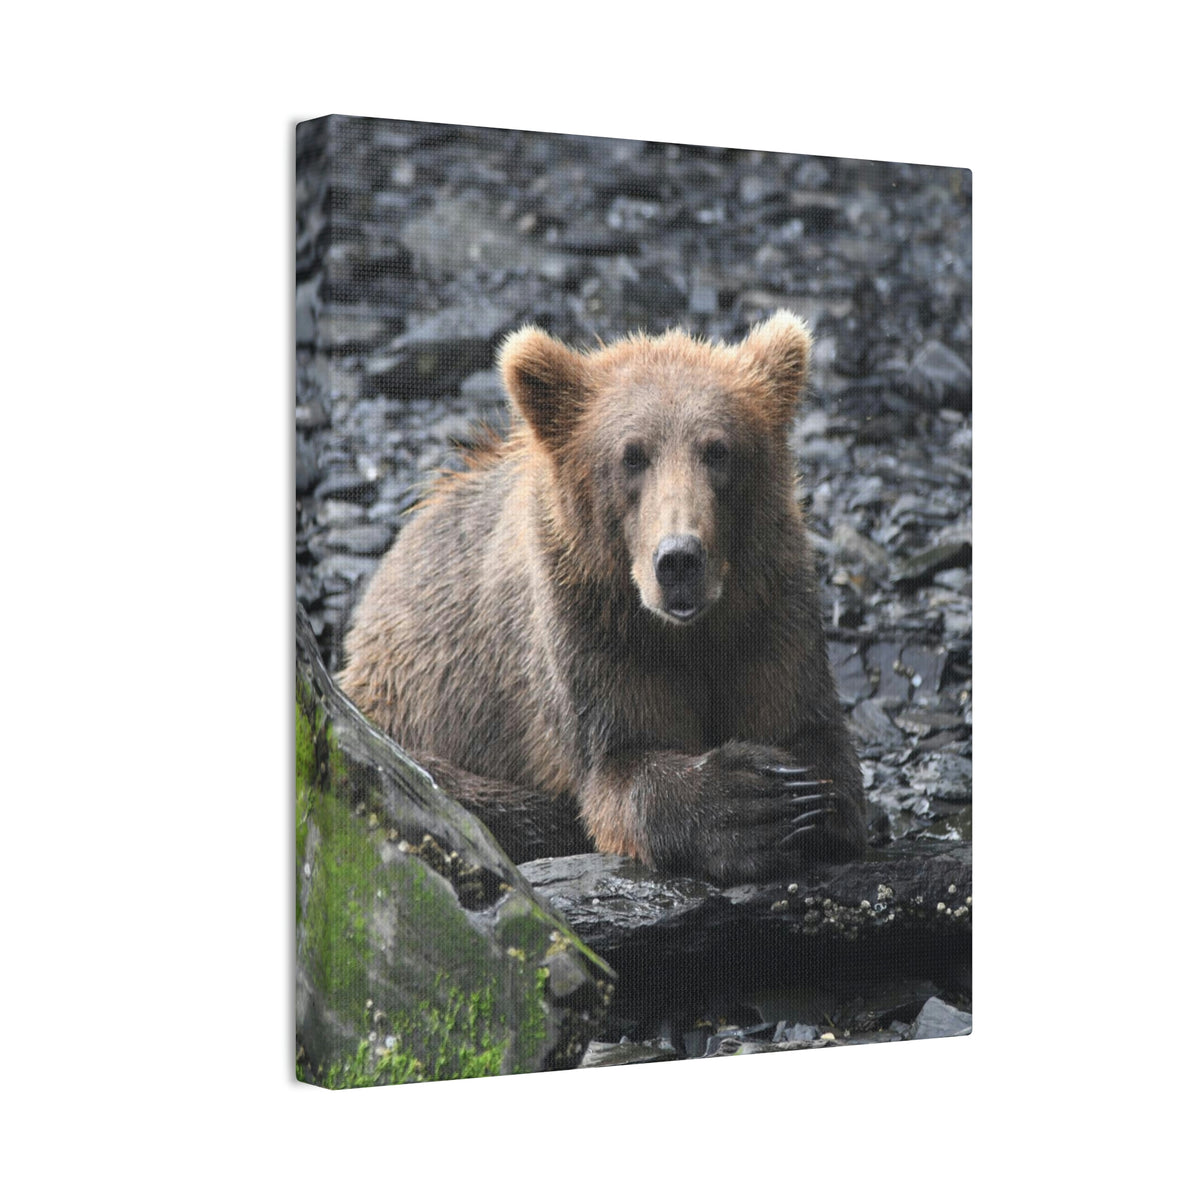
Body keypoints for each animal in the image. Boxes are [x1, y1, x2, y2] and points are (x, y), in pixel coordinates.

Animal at [339, 311, 867, 884]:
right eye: (632, 455)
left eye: (718, 450)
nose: (679, 559)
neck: (687, 631)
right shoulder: (590, 629)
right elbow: (620, 765)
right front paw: (752, 802)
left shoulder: (769, 608)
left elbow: (809, 729)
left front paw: (806, 799)